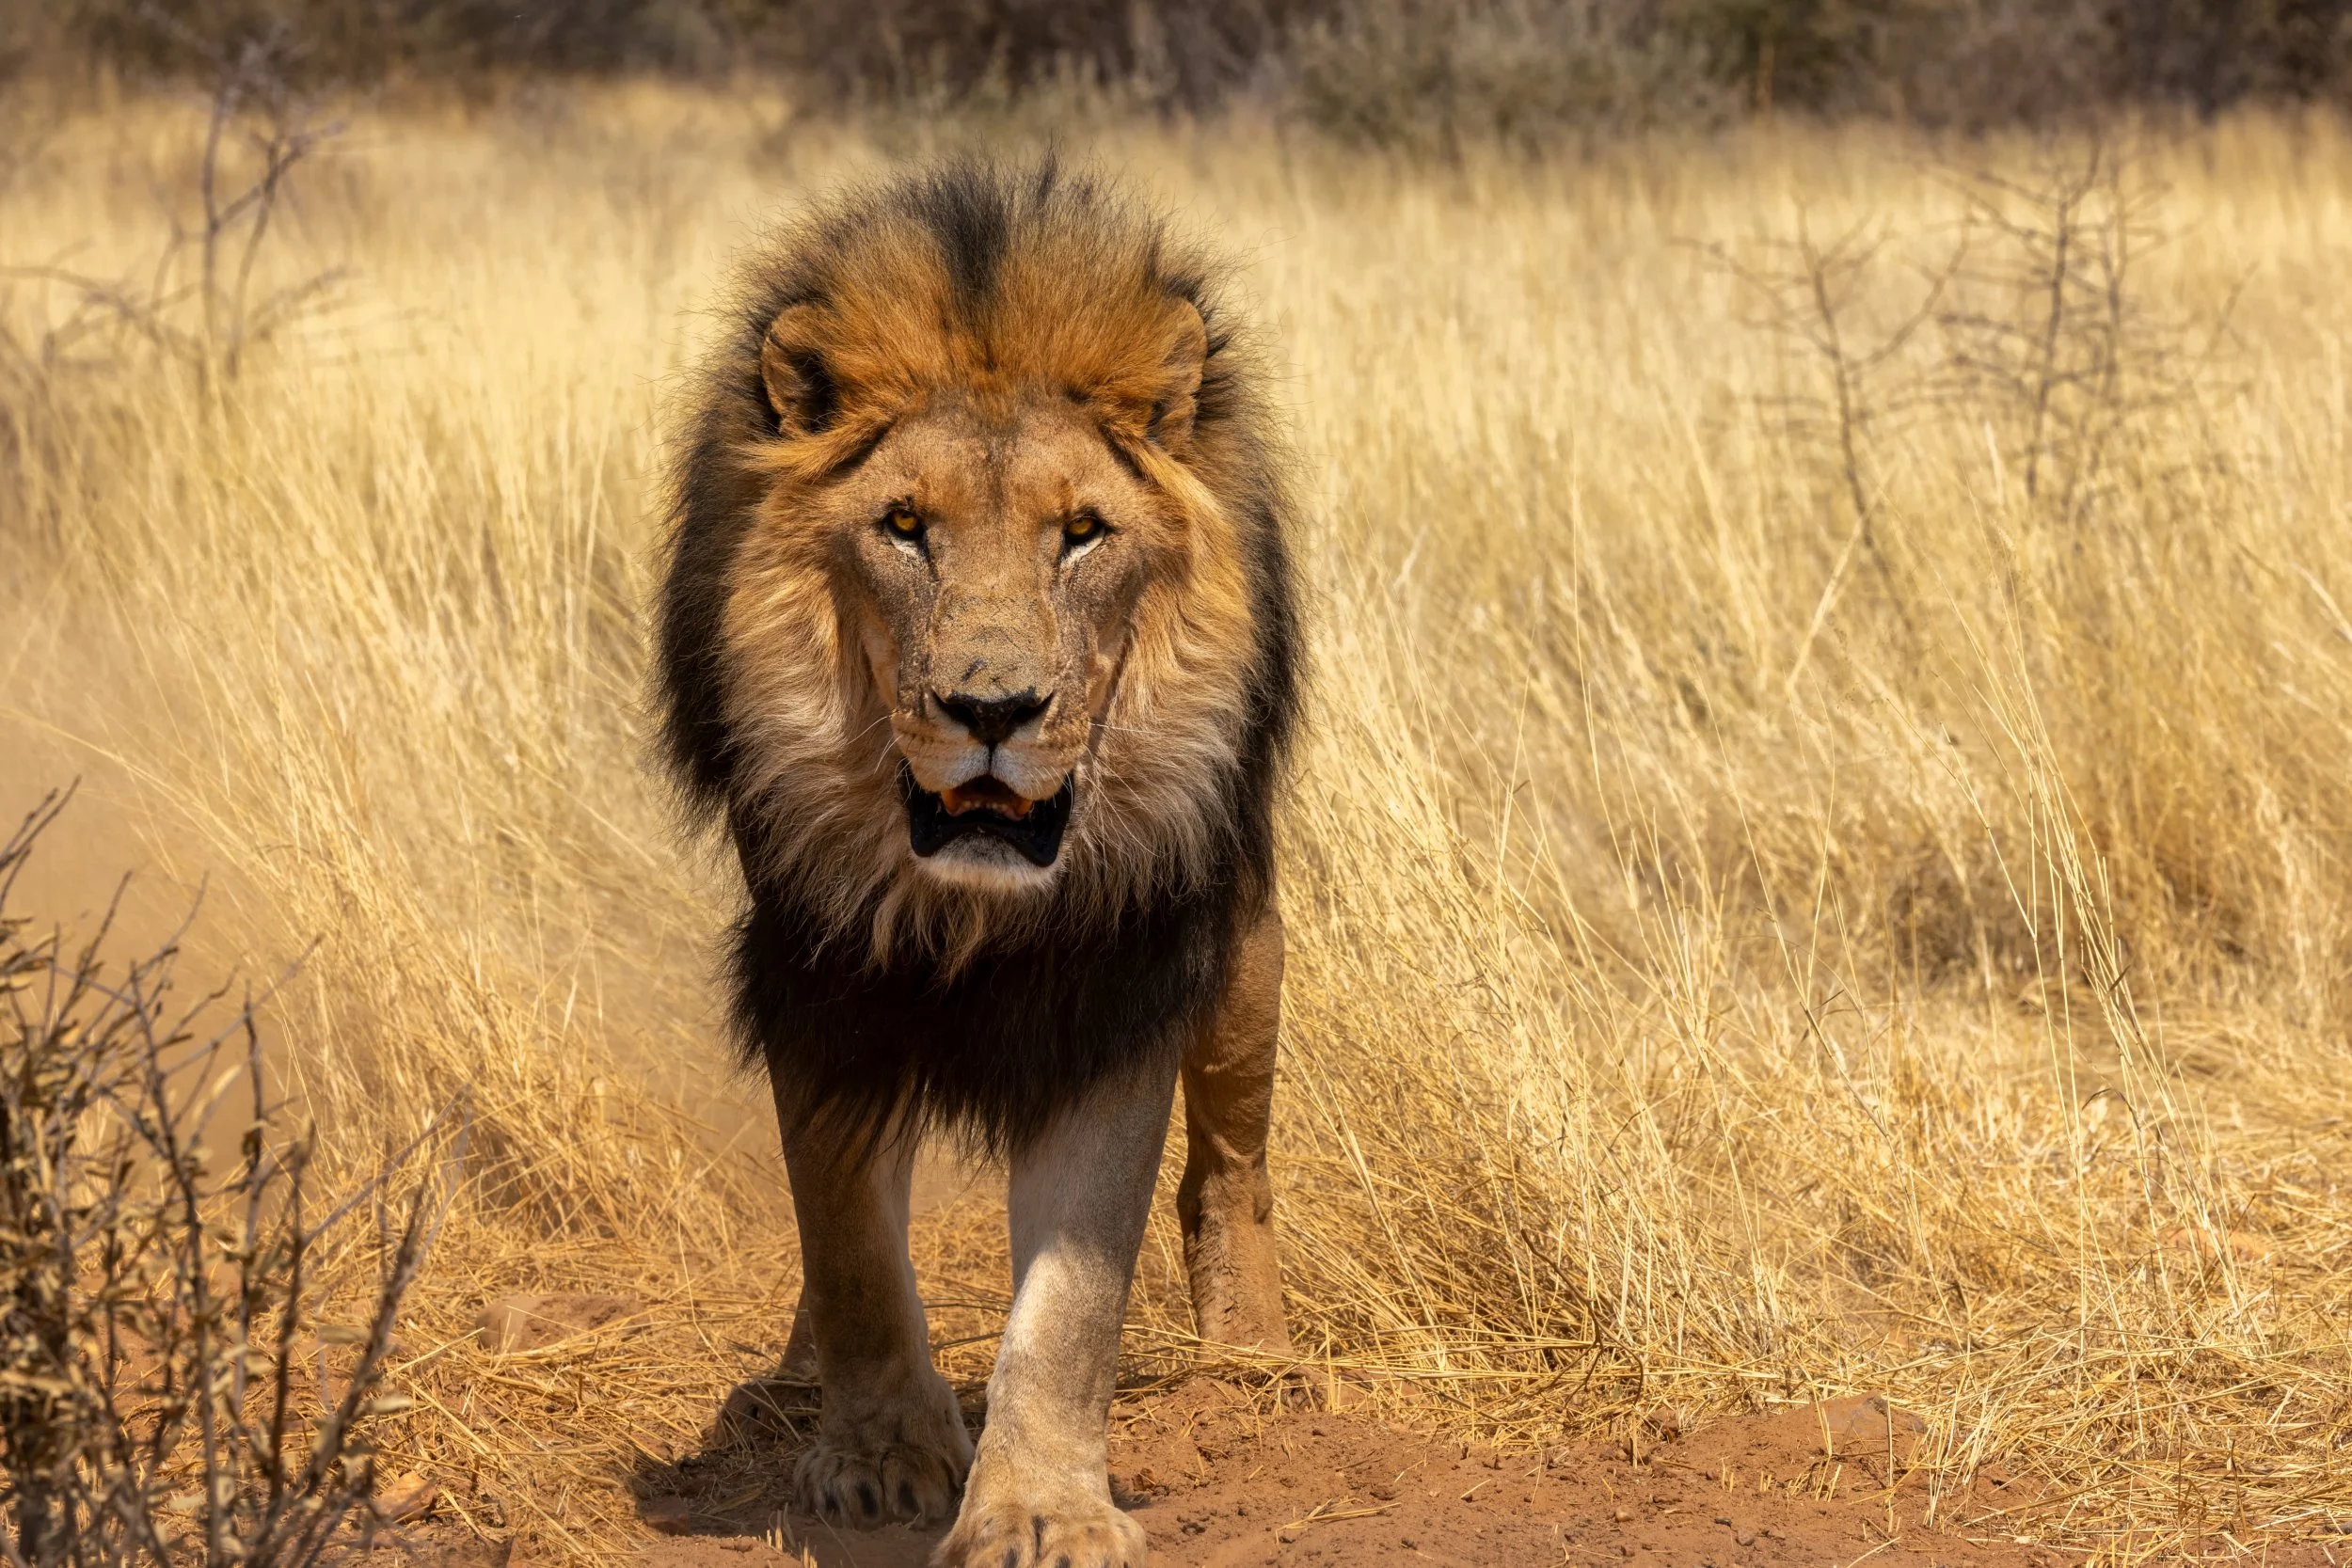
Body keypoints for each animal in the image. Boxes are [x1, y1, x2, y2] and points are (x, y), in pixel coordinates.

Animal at [654, 158, 1301, 1568]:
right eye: (903, 526)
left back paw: (1254, 1363)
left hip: (1242, 961)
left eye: (1083, 533)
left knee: (1231, 1170)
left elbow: (1072, 1300)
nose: (990, 708)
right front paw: (884, 1457)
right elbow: (847, 1242)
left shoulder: (1117, 987)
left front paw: (1041, 1506)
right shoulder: (818, 976)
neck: (970, 905)